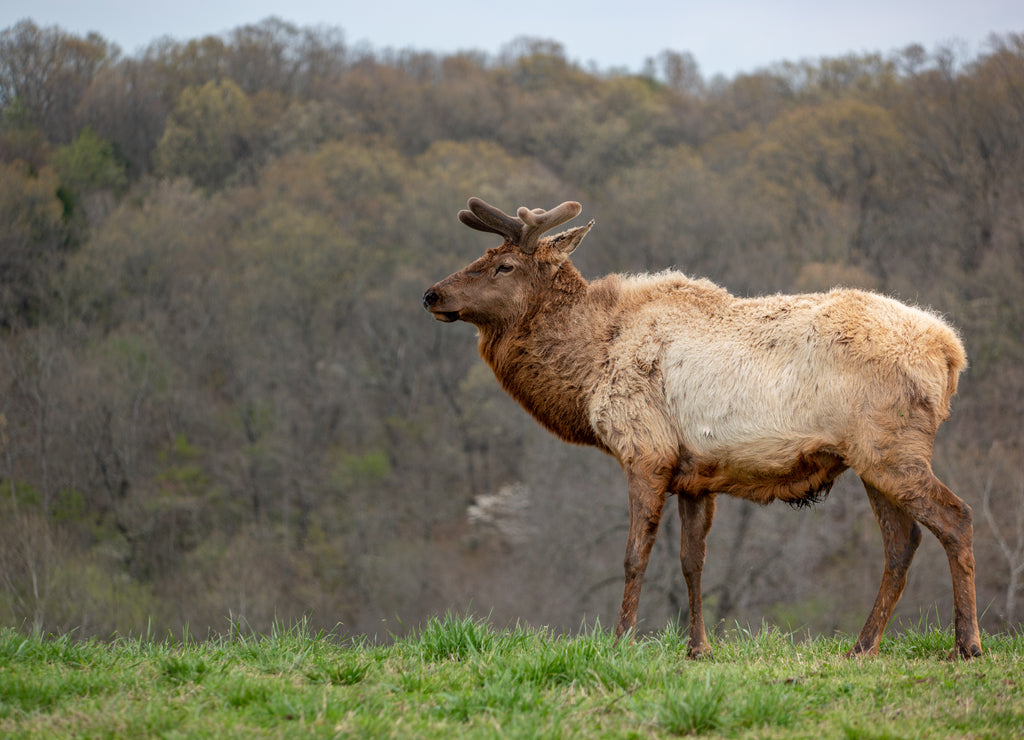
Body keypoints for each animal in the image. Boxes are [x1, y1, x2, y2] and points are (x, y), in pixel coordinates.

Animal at [422, 197, 982, 660]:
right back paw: (863, 646)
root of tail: (951, 353)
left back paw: (966, 644)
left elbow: (634, 557)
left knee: (955, 517)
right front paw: (698, 648)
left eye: (504, 265)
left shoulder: (645, 451)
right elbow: (693, 562)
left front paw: (621, 642)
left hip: (890, 449)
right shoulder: (695, 475)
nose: (431, 294)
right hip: (870, 459)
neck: (589, 368)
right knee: (902, 543)